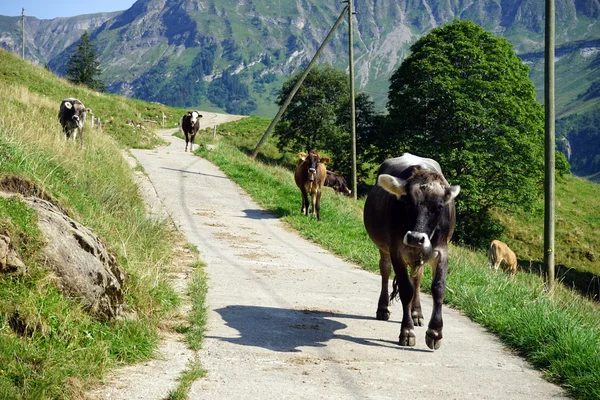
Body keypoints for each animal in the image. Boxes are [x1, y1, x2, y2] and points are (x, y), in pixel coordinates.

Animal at [364, 153, 462, 350]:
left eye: (439, 207)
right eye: (407, 202)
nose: (416, 238)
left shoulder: (441, 250)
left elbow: (438, 287)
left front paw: (435, 332)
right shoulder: (396, 250)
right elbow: (405, 289)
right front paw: (407, 331)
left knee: (417, 279)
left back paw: (416, 313)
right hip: (385, 249)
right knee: (385, 271)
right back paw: (383, 308)